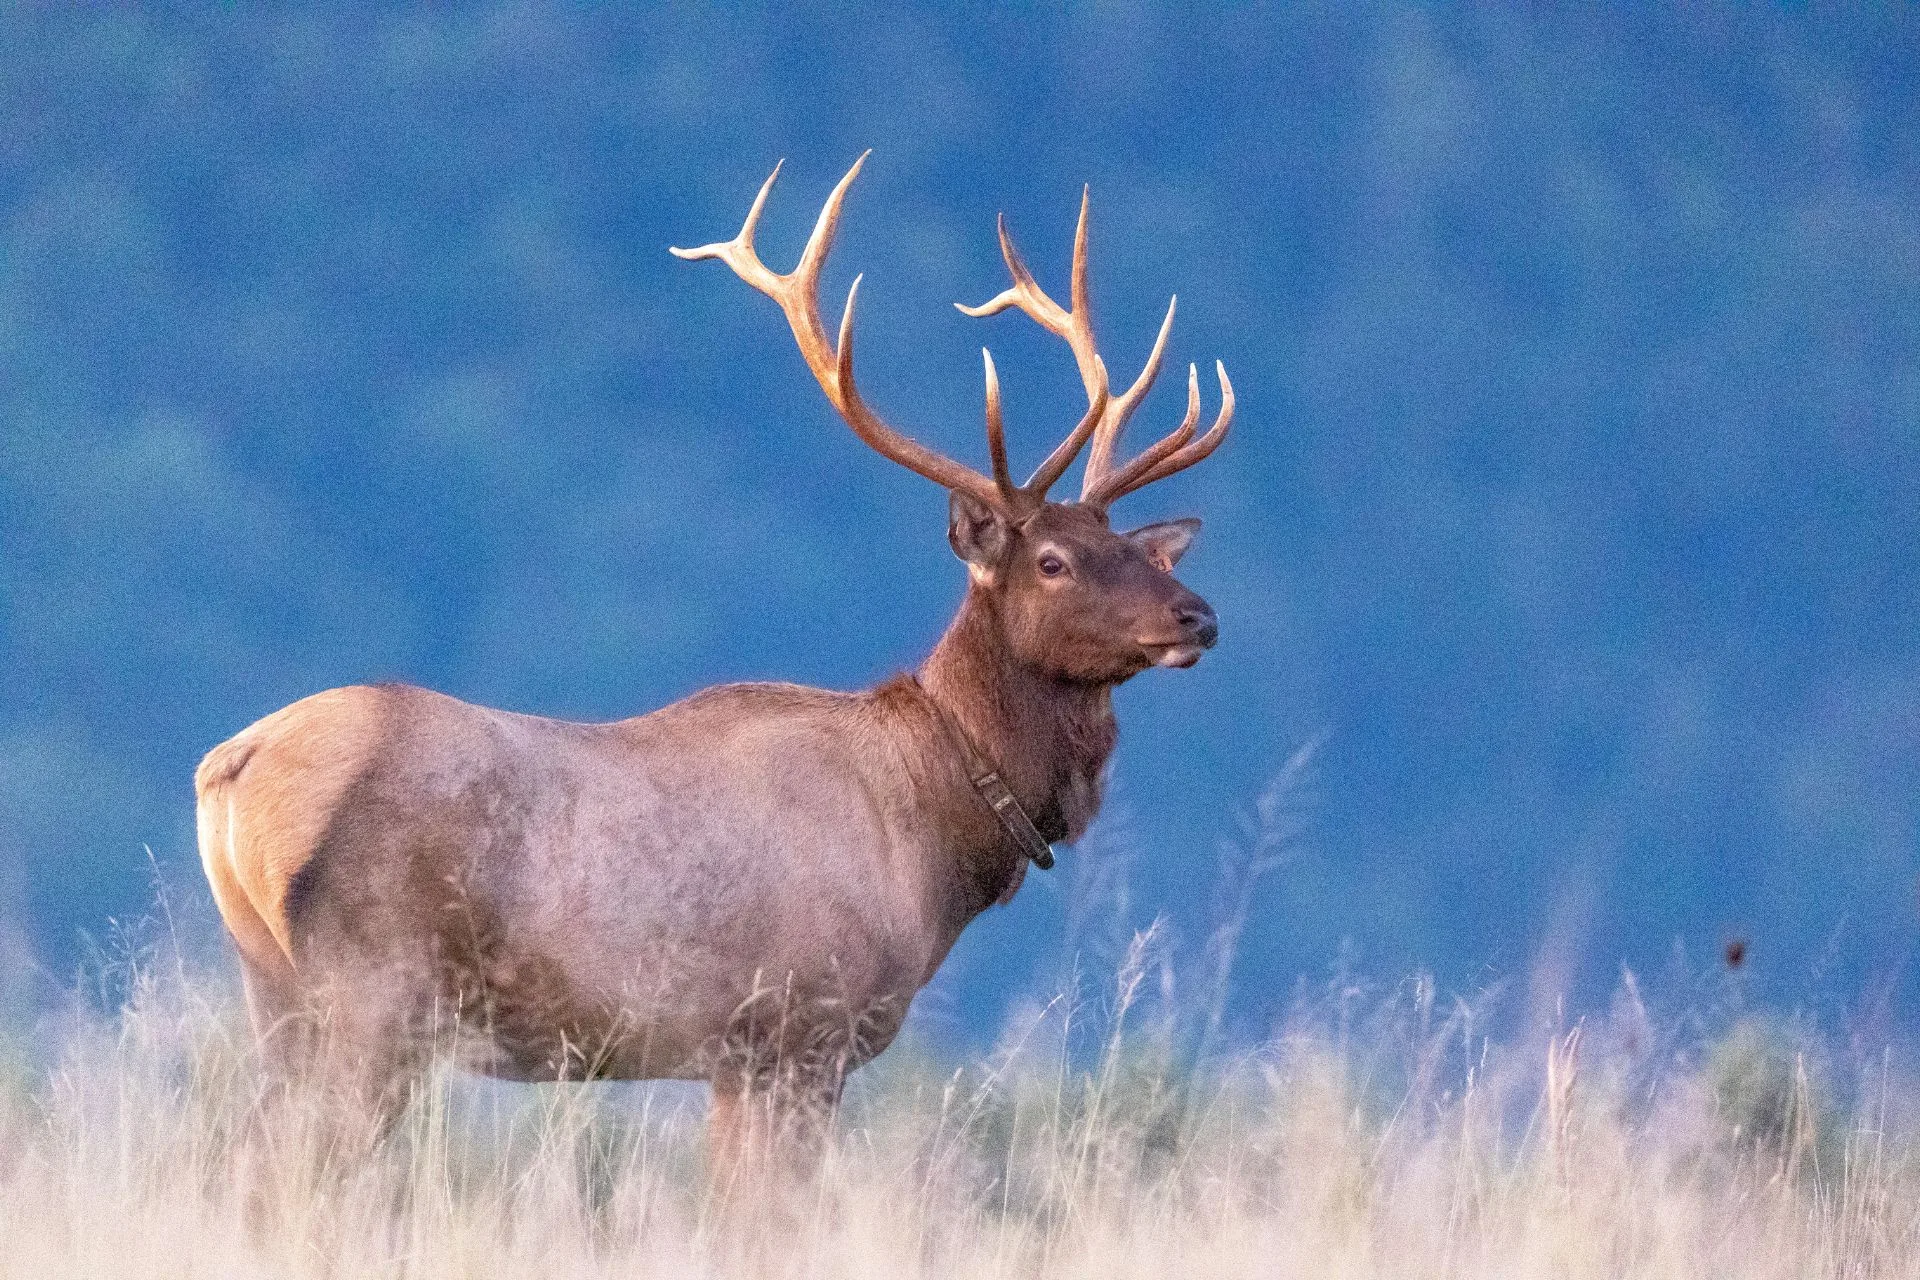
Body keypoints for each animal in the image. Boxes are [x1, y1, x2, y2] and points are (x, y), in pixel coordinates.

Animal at [193, 154, 1231, 1171]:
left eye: (1135, 548)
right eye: (1052, 561)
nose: (1199, 615)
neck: (933, 839)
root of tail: (231, 765)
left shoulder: (743, 1058)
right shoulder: (796, 1027)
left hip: (275, 990)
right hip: (374, 989)